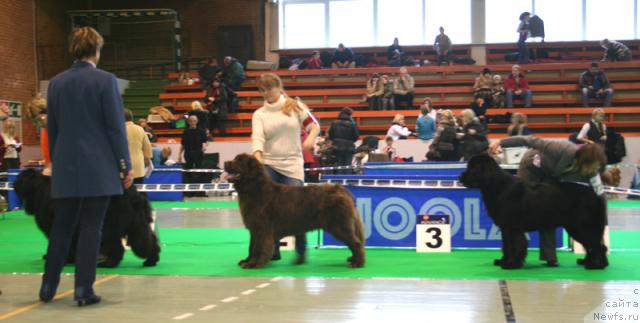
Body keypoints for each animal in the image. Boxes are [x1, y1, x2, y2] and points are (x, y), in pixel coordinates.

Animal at [14, 170, 160, 268]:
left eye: (21, 179)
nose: (14, 184)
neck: (39, 190)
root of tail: (134, 193)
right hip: (136, 223)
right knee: (148, 239)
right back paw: (151, 260)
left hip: (109, 226)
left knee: (116, 246)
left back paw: (109, 263)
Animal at [225, 154, 364, 268]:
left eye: (239, 161)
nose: (225, 162)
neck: (255, 189)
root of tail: (341, 189)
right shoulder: (254, 228)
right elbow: (252, 247)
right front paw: (247, 261)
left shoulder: (262, 228)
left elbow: (259, 247)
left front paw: (254, 264)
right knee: (353, 242)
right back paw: (353, 259)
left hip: (339, 225)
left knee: (356, 242)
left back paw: (357, 263)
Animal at [460, 156, 604, 270]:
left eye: (473, 168)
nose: (460, 177)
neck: (497, 186)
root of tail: (594, 193)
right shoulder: (505, 228)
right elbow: (506, 246)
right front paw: (503, 261)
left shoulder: (513, 227)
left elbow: (515, 245)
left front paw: (511, 264)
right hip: (576, 227)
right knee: (592, 245)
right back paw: (588, 262)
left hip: (582, 226)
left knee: (597, 245)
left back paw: (596, 265)